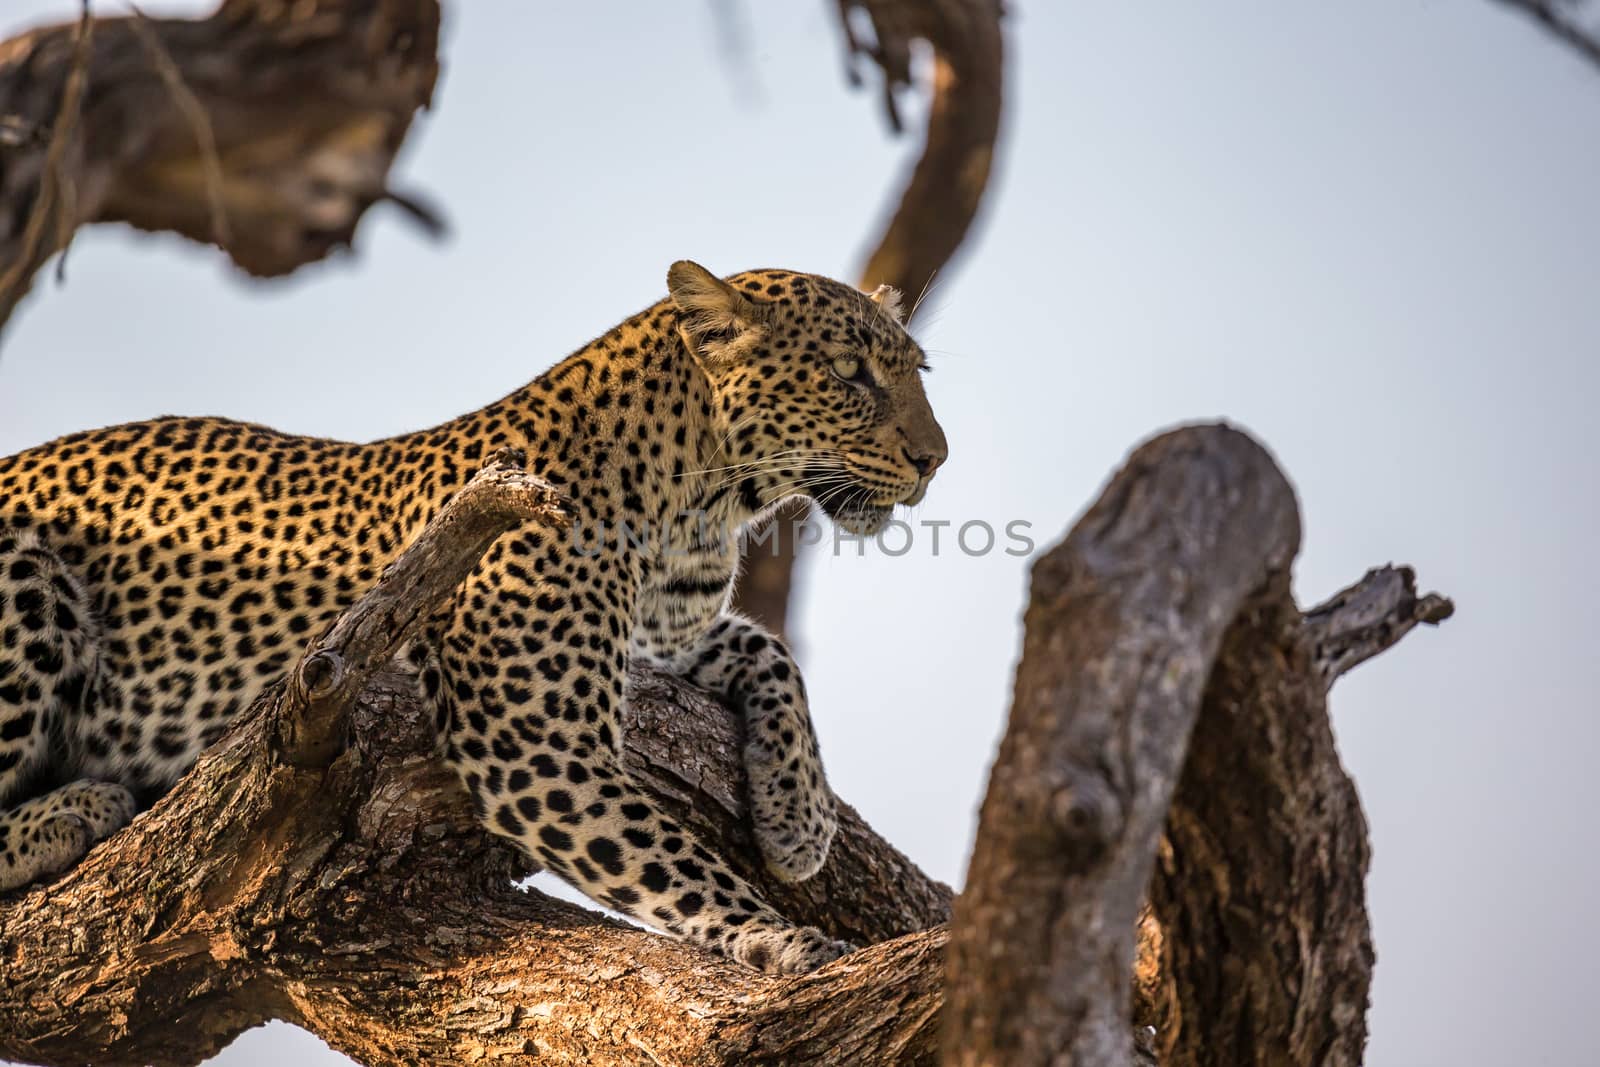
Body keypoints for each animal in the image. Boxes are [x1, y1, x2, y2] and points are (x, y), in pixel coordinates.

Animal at [0, 260, 940, 979]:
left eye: (916, 371)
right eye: (848, 372)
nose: (937, 457)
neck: (699, 507)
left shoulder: (664, 641)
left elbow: (768, 647)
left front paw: (798, 819)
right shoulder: (535, 744)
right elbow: (674, 861)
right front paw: (780, 935)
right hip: (25, 573)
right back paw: (75, 807)